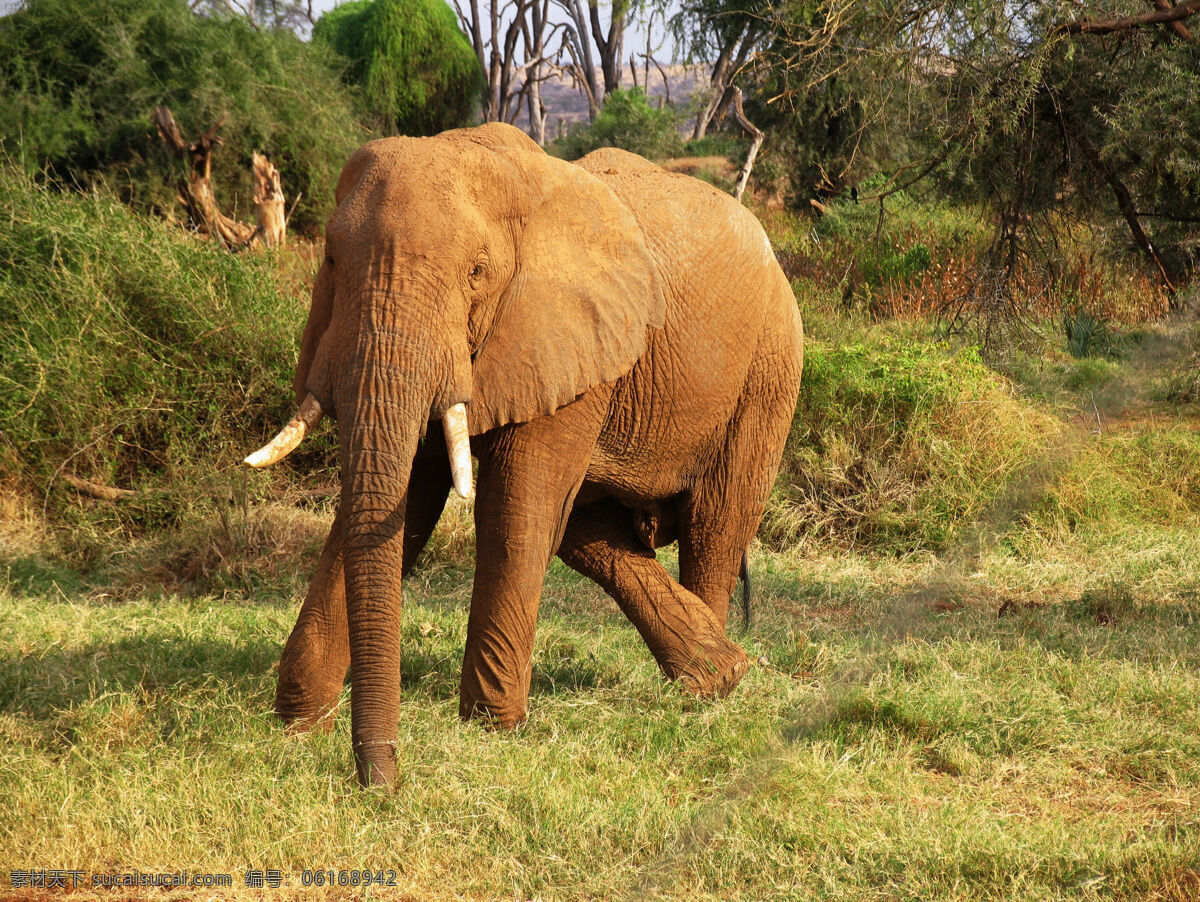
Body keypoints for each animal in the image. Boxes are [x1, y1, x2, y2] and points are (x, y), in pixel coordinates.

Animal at [245, 122, 804, 786]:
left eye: (477, 272)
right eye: (330, 260)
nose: (383, 782)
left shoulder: (561, 334)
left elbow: (513, 512)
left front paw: (493, 727)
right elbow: (402, 502)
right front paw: (297, 722)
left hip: (769, 365)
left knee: (715, 523)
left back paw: (712, 689)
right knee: (590, 529)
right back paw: (717, 669)